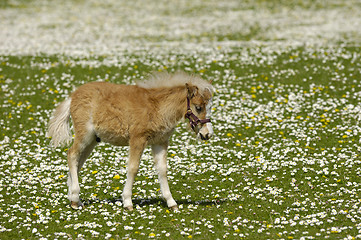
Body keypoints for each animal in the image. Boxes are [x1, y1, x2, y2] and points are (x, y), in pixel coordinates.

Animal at [46, 72, 212, 211]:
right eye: (198, 107)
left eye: (209, 107)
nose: (207, 134)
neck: (157, 106)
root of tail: (72, 96)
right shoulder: (137, 139)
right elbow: (133, 168)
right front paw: (127, 202)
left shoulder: (160, 142)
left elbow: (162, 170)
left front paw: (171, 202)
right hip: (84, 135)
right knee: (72, 155)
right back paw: (74, 197)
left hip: (92, 140)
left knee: (78, 162)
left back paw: (74, 199)